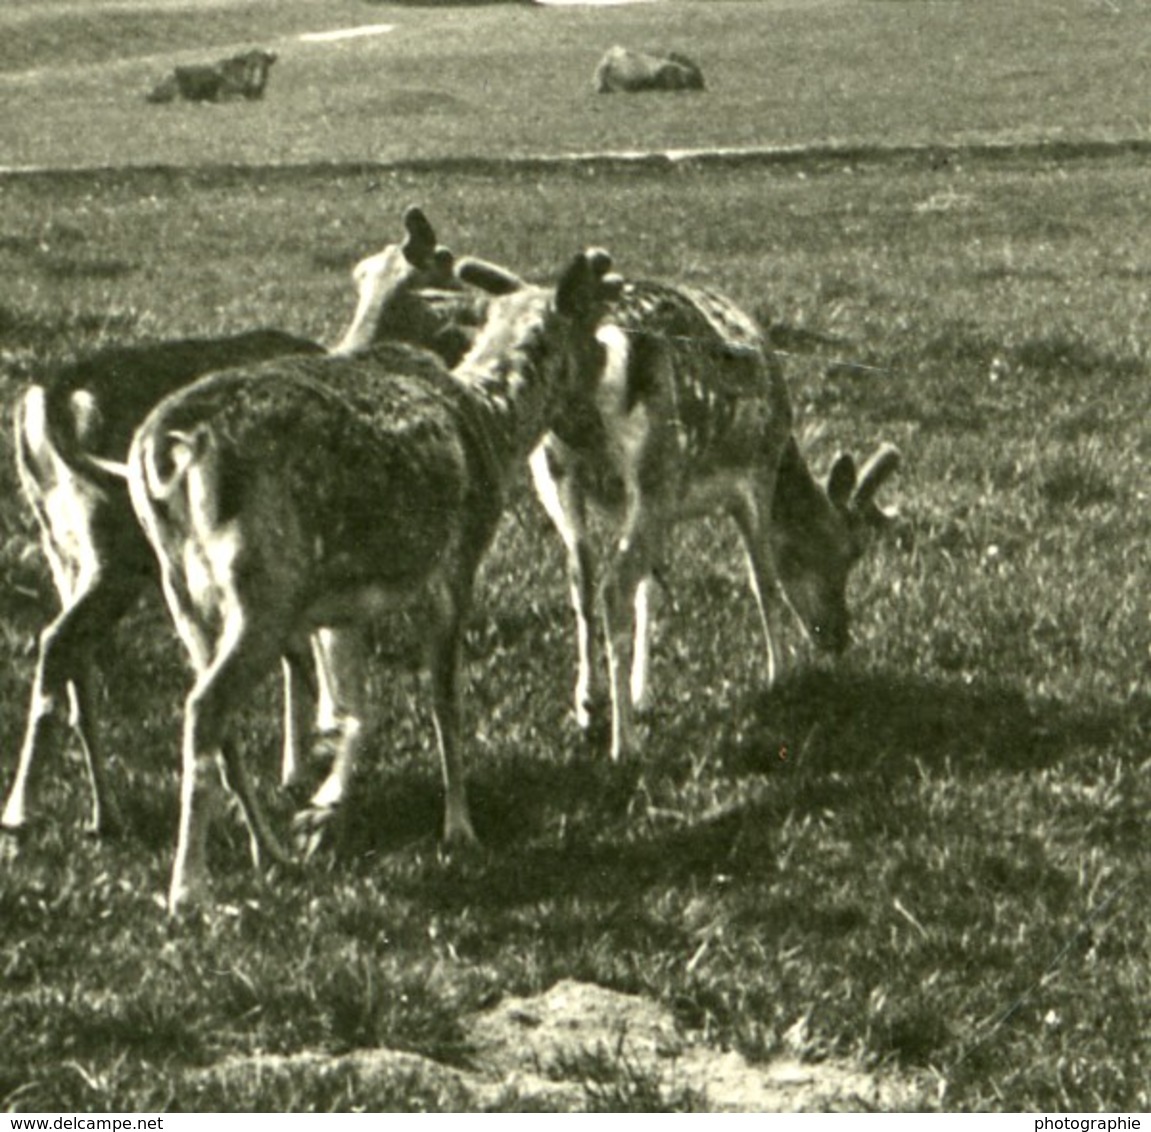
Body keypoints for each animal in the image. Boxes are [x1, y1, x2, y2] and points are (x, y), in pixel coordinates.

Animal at [513, 280, 897, 760]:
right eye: (847, 553)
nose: (839, 636)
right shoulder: (754, 478)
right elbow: (764, 581)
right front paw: (780, 677)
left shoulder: (645, 509)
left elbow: (650, 588)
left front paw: (641, 692)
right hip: (655, 468)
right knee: (613, 587)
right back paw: (624, 745)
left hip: (553, 472)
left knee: (581, 573)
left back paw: (589, 705)